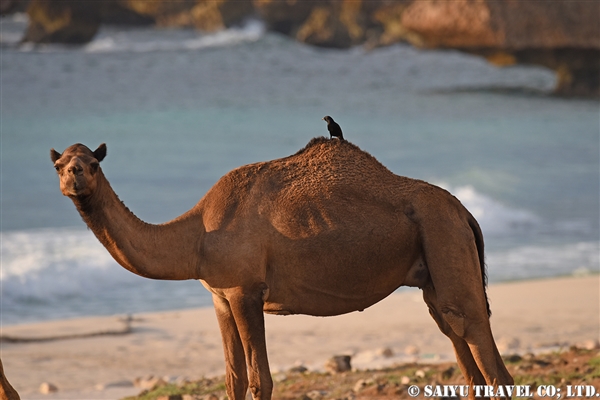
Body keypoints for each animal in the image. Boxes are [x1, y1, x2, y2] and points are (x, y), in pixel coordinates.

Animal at [49, 138, 512, 400]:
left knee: (483, 348)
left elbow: (261, 381)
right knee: (459, 344)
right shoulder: (219, 298)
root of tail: (463, 211)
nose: (74, 176)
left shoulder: (245, 291)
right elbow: (233, 380)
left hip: (443, 237)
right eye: (59, 164)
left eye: (93, 164)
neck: (197, 235)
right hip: (433, 269)